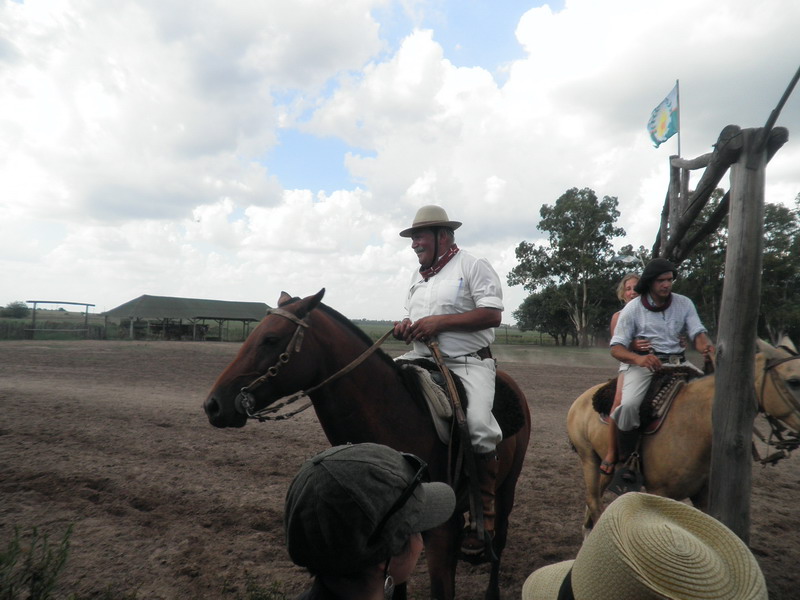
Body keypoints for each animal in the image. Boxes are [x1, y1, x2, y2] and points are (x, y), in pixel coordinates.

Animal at [203, 288, 536, 596]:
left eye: (271, 339)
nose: (214, 405)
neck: (395, 419)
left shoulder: (441, 536)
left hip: (507, 487)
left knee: (499, 539)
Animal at [568, 338, 800, 536]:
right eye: (794, 381)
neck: (694, 424)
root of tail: (583, 399)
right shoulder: (658, 492)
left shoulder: (703, 495)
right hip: (588, 458)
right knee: (594, 501)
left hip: (605, 466)